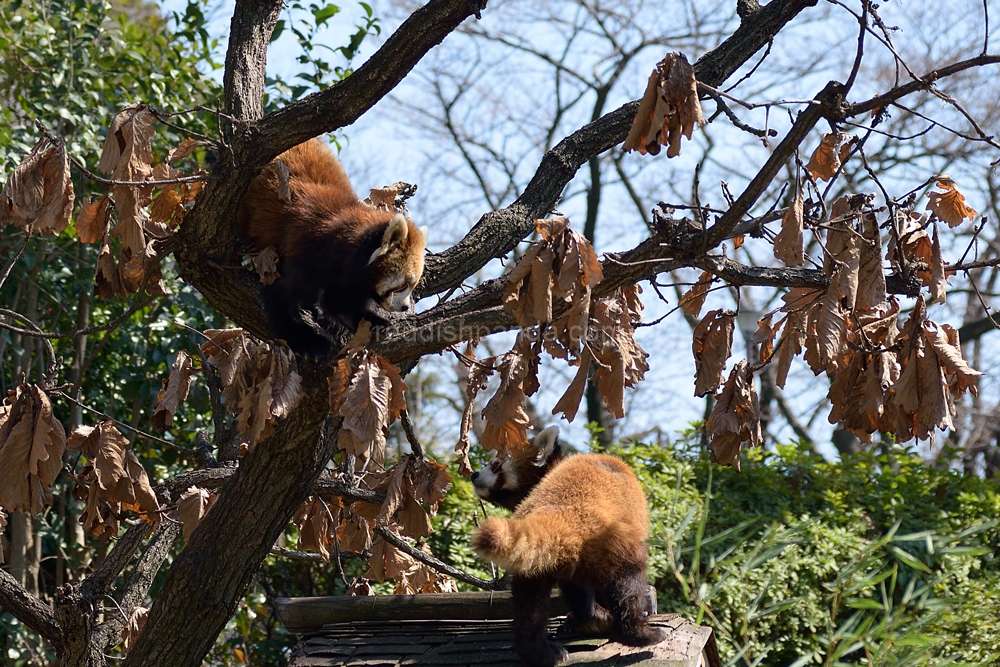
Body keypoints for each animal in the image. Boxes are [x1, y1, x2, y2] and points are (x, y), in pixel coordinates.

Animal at [237, 139, 426, 358]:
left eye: (412, 285)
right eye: (403, 285)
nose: (404, 307)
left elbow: (342, 302)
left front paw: (377, 323)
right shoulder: (299, 252)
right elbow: (281, 296)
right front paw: (307, 341)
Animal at [470, 428, 664, 667]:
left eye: (495, 465)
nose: (474, 474)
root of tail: (560, 511)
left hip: (540, 564)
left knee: (531, 608)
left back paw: (545, 651)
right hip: (614, 544)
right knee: (627, 584)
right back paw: (640, 633)